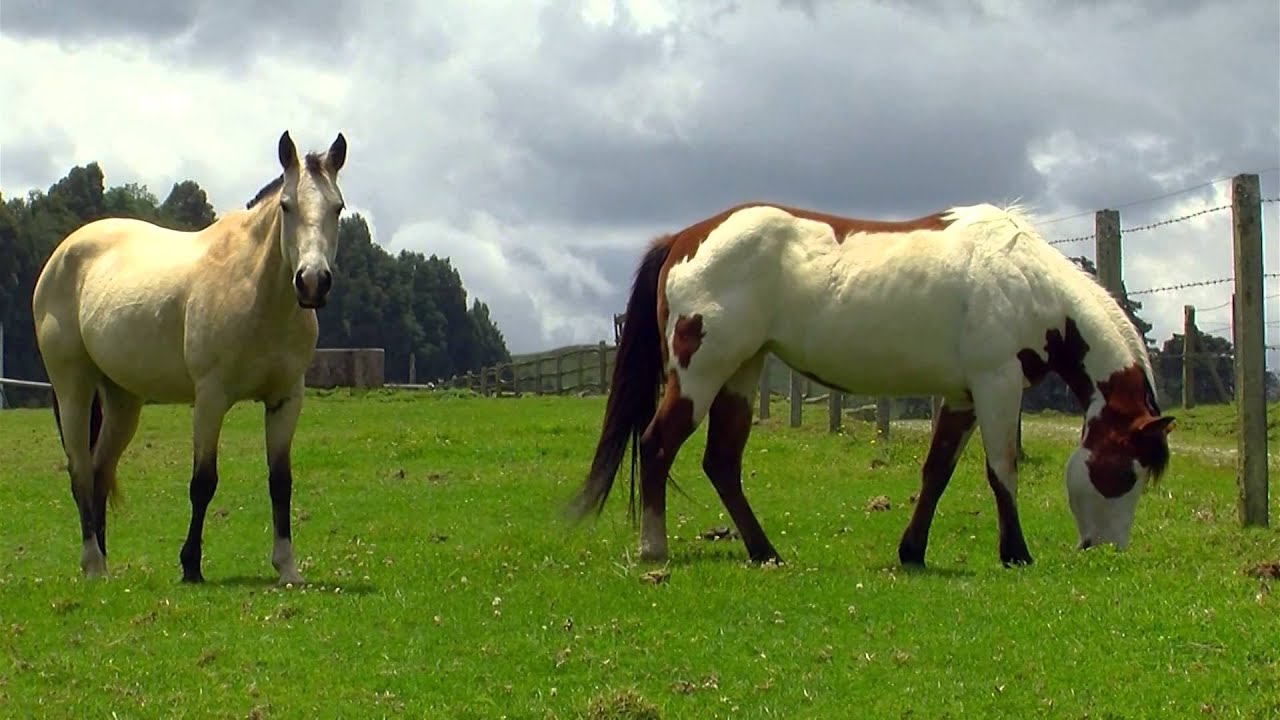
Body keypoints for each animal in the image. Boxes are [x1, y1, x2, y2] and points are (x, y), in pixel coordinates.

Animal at [31, 130, 348, 583]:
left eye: (337, 208)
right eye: (287, 206)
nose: (312, 282)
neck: (255, 293)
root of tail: (63, 253)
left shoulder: (286, 400)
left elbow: (280, 481)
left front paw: (287, 566)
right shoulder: (211, 399)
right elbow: (203, 482)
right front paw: (191, 565)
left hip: (123, 399)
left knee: (99, 471)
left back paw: (106, 562)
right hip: (73, 388)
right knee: (79, 472)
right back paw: (92, 563)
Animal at [567, 201, 1175, 568]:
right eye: (1126, 473)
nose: (1106, 549)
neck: (1024, 279)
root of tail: (683, 238)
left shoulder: (961, 394)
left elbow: (937, 472)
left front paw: (912, 551)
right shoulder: (996, 382)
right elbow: (1001, 472)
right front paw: (1016, 553)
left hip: (741, 374)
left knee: (721, 463)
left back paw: (765, 552)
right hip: (701, 375)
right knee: (656, 444)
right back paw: (654, 549)